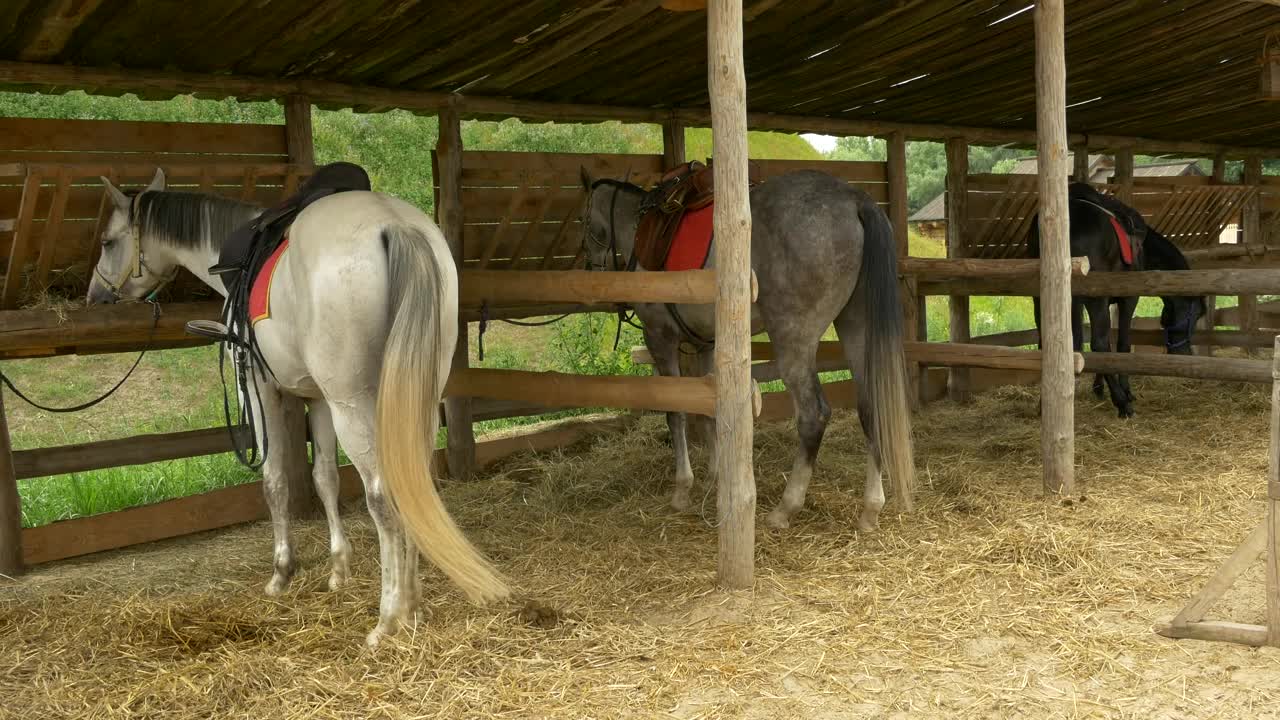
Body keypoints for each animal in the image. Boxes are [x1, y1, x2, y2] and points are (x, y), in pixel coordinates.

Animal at [87, 169, 506, 645]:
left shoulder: (259, 389)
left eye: (108, 241)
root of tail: (396, 226)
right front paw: (338, 569)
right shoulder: (317, 398)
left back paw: (387, 618)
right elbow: (324, 478)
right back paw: (412, 605)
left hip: (353, 406)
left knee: (382, 496)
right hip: (411, 397)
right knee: (413, 481)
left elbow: (275, 481)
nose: (96, 295)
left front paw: (282, 572)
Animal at [581, 166, 921, 527]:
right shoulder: (707, 346)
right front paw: (715, 477)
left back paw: (786, 507)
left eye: (585, 222)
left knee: (813, 415)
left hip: (793, 341)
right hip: (857, 327)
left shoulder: (659, 337)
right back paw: (871, 508)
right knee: (872, 407)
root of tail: (854, 200)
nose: (591, 271)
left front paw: (682, 489)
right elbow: (709, 412)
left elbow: (676, 412)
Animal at [1024, 181, 1203, 417]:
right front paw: (1125, 391)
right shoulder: (1128, 298)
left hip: (1044, 299)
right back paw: (1122, 403)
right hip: (1095, 298)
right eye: (1197, 314)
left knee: (1049, 343)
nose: (1184, 351)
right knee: (1098, 344)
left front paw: (1098, 387)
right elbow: (1120, 344)